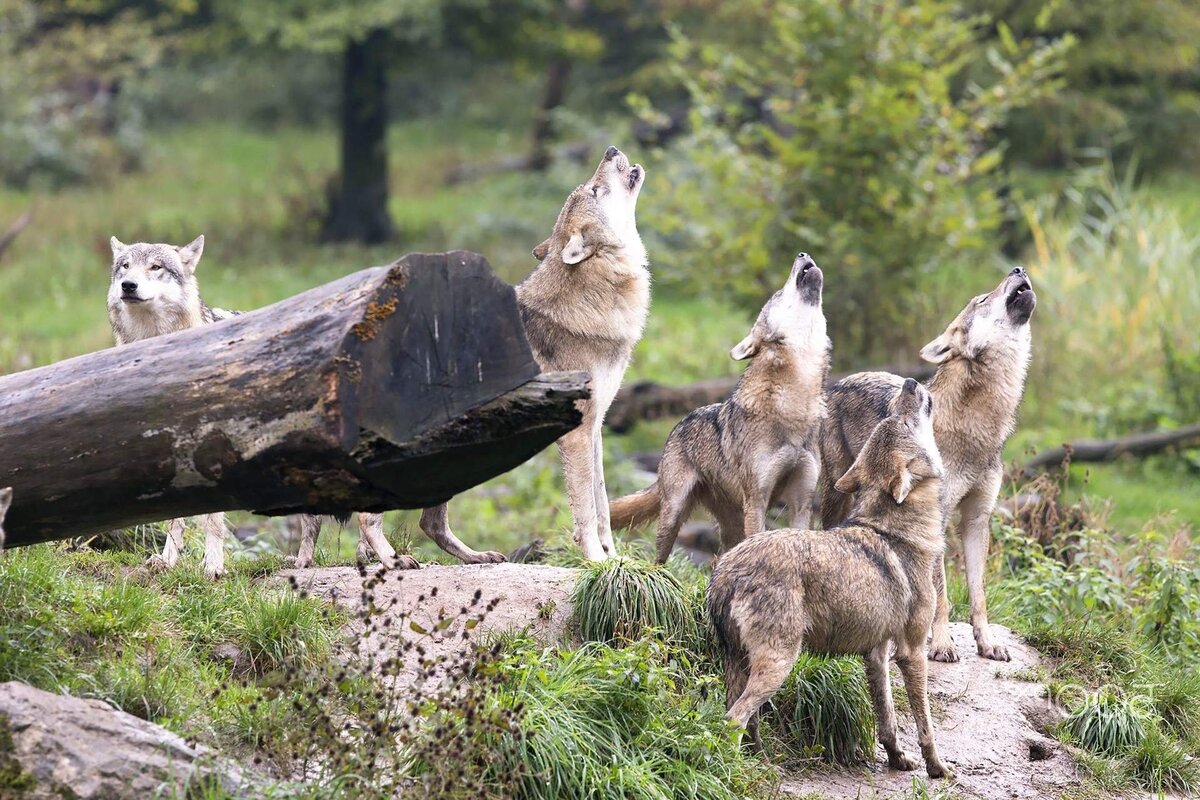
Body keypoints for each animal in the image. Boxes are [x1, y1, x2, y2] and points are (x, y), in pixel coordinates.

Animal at [604, 251, 830, 563]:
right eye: (778, 293)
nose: (802, 253)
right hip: (674, 515)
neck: (794, 404)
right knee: (660, 559)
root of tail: (680, 422)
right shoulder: (757, 501)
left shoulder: (802, 501)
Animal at [705, 379, 950, 777]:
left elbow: (887, 719)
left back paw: (763, 764)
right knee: (734, 719)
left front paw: (897, 759)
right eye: (900, 420)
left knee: (742, 718)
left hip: (741, 665)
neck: (897, 530)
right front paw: (937, 768)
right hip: (779, 664)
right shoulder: (912, 652)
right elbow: (923, 722)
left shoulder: (877, 654)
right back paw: (741, 771)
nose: (910, 383)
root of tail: (726, 571)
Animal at [820, 266, 1036, 662]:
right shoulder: (939, 518)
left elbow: (978, 594)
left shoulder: (977, 518)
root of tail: (841, 381)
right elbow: (941, 595)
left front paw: (986, 642)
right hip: (836, 493)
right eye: (982, 299)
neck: (978, 430)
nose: (1018, 269)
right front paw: (941, 643)